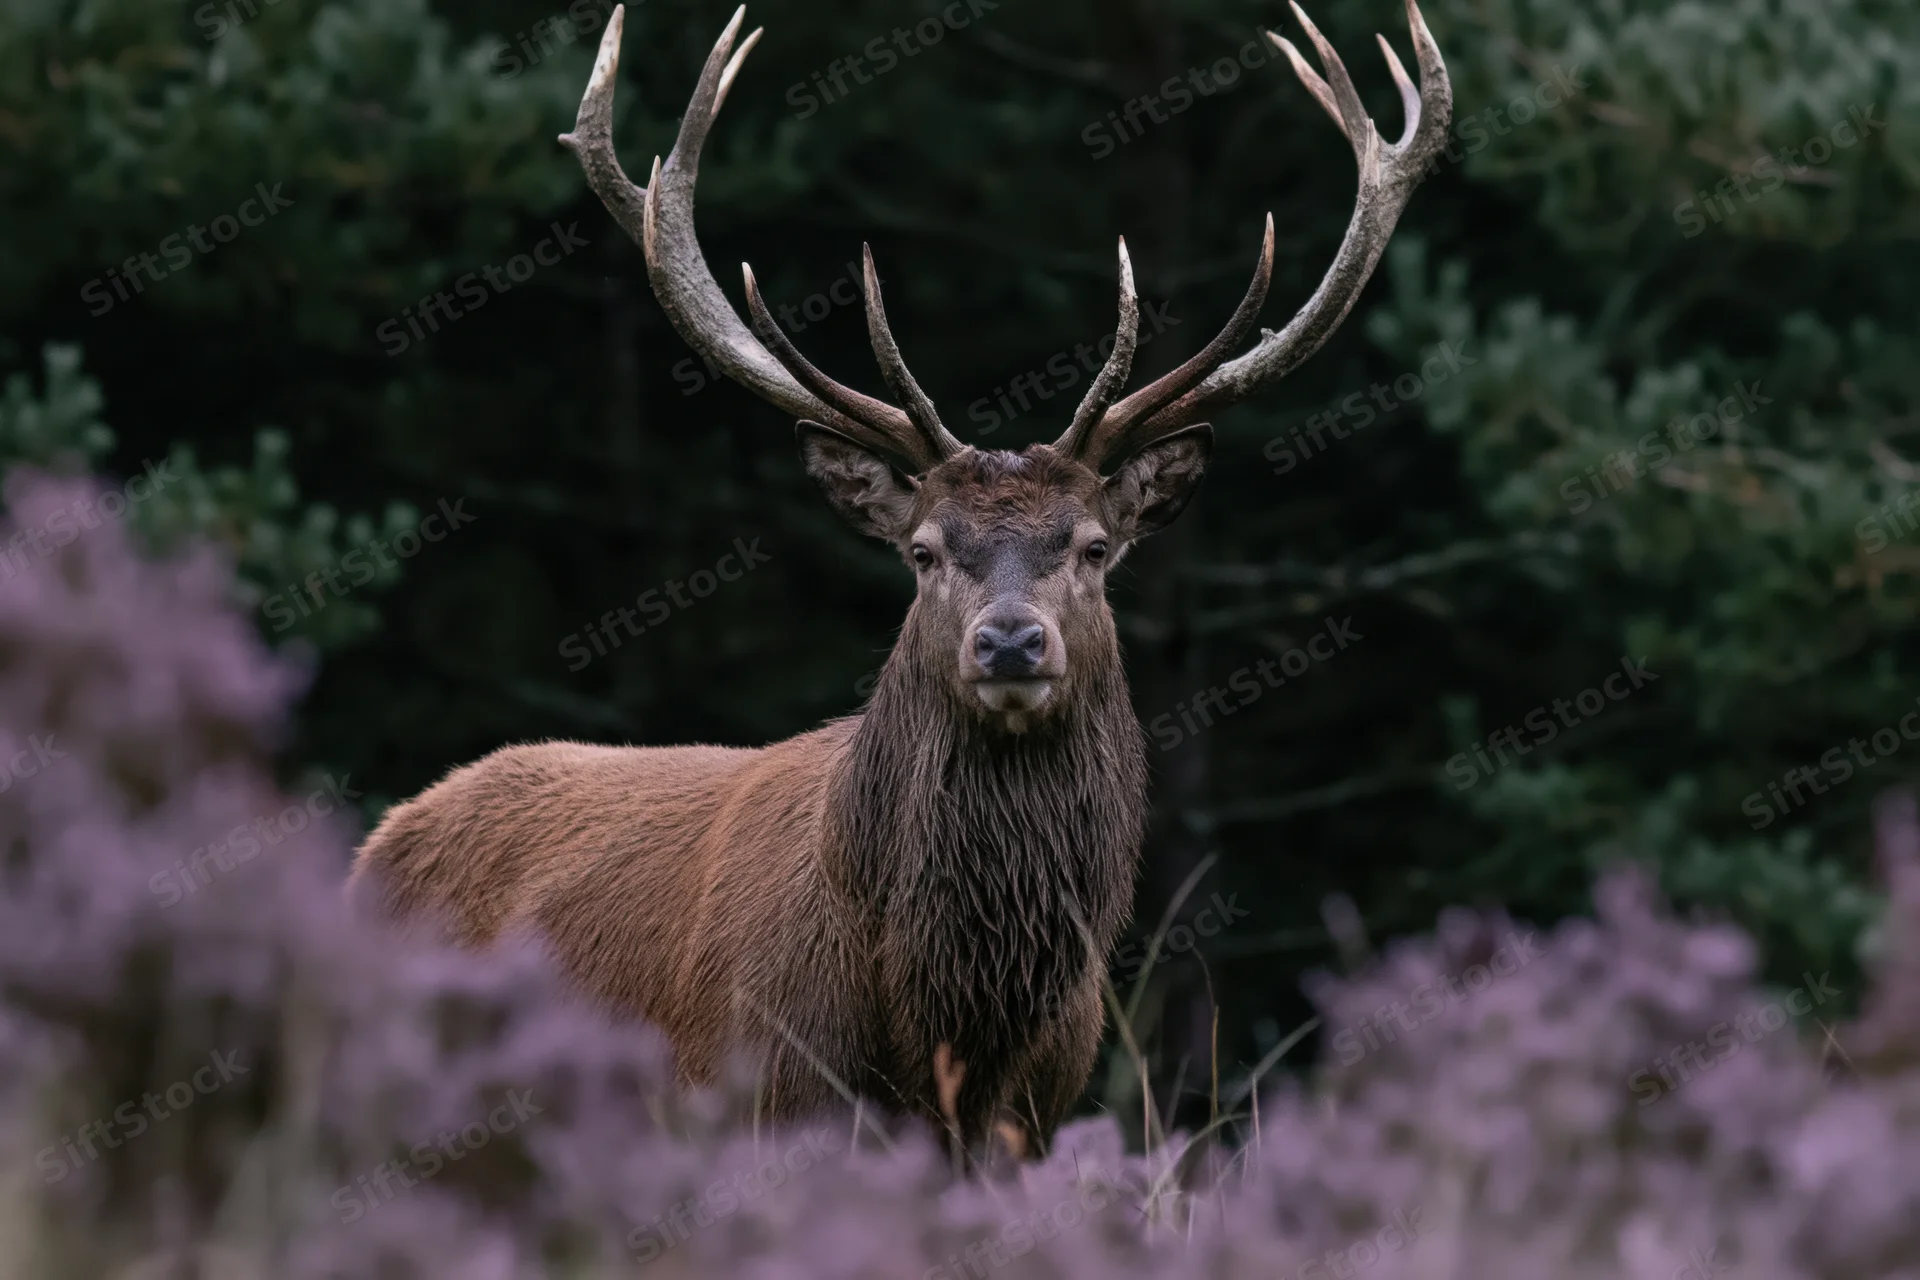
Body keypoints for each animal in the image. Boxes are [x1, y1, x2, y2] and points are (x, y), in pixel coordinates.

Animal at [349, 0, 1450, 1152]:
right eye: (923, 552)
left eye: (1094, 547)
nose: (1008, 640)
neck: (949, 1024)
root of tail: (376, 843)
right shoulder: (759, 1093)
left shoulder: (1036, 1117)